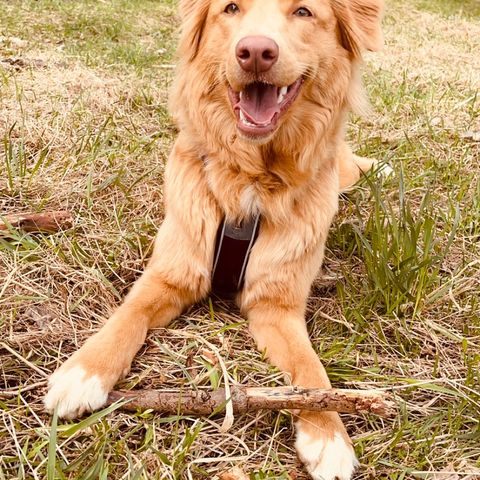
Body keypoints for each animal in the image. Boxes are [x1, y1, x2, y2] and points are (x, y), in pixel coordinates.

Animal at [44, 1, 382, 478]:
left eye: (303, 11)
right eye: (231, 8)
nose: (255, 52)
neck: (251, 181)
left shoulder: (277, 307)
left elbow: (310, 371)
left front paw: (328, 435)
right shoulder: (170, 274)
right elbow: (126, 317)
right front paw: (82, 372)